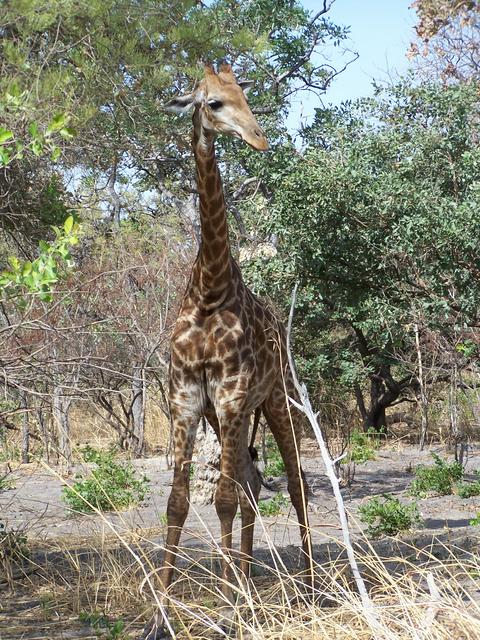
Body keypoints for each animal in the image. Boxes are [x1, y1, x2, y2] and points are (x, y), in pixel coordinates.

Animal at [143, 63, 313, 639]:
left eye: (246, 96)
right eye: (213, 103)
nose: (258, 138)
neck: (209, 288)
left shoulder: (234, 393)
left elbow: (220, 499)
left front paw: (226, 610)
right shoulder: (187, 398)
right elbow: (178, 502)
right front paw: (163, 614)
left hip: (277, 399)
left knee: (294, 483)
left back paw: (308, 589)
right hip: (227, 417)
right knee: (253, 485)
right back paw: (248, 582)